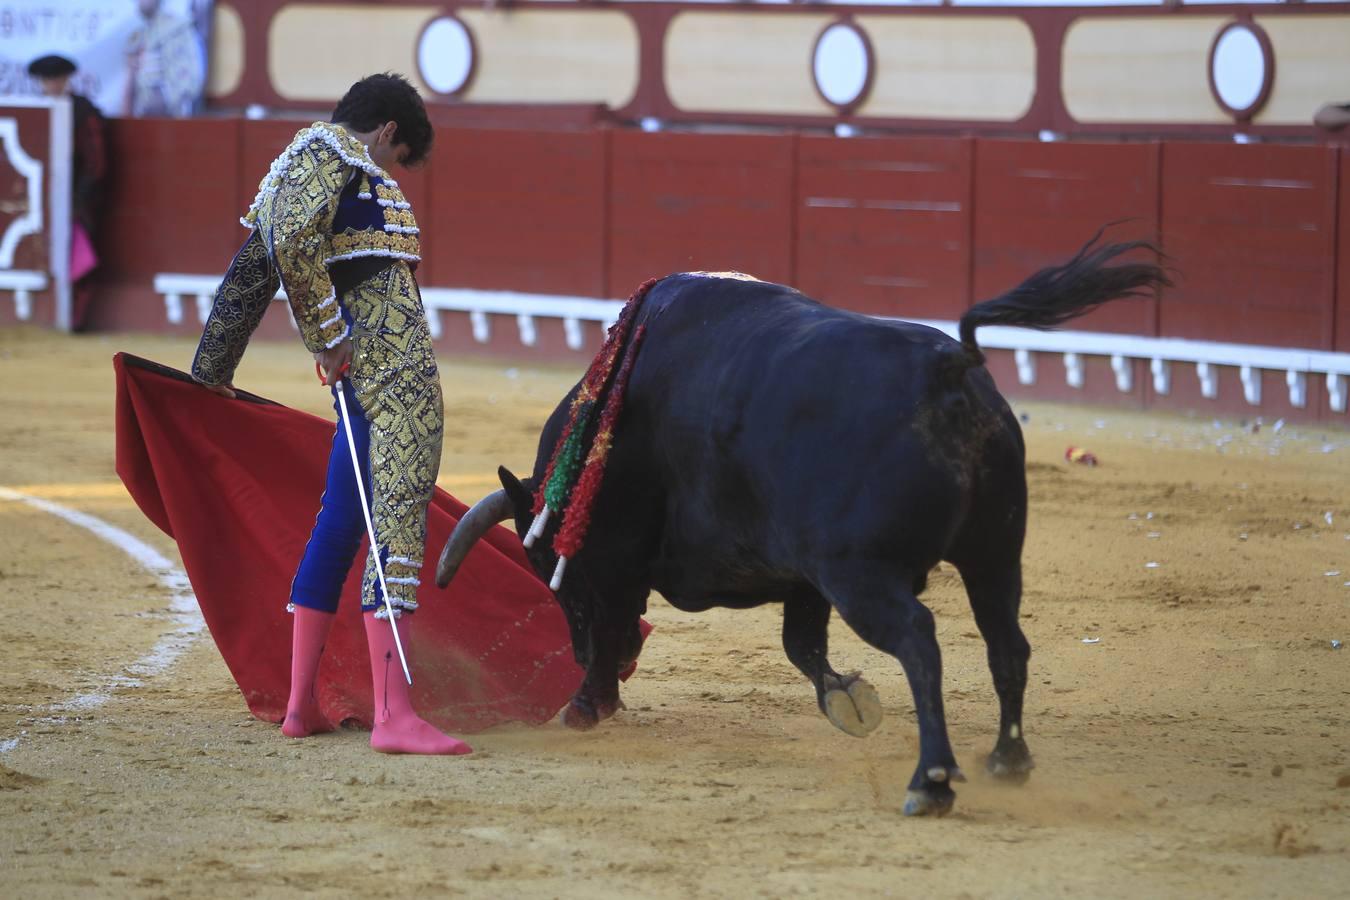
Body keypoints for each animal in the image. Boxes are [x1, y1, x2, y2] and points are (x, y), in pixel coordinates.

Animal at [434, 234, 1171, 814]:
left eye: (547, 568)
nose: (590, 666)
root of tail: (950, 368)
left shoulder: (621, 560)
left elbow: (617, 613)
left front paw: (587, 704)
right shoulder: (803, 577)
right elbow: (801, 646)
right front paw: (848, 698)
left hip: (864, 575)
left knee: (920, 639)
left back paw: (931, 781)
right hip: (994, 554)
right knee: (1006, 644)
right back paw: (1007, 761)